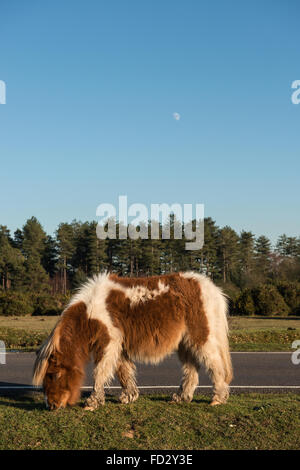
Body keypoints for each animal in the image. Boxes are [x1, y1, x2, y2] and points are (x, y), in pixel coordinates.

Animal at [33, 272, 234, 412]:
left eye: (54, 375)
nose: (51, 406)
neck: (90, 313)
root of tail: (211, 288)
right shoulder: (119, 347)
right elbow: (124, 371)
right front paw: (129, 396)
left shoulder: (108, 343)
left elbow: (100, 372)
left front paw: (93, 402)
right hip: (185, 343)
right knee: (191, 370)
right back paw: (181, 397)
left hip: (201, 338)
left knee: (215, 365)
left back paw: (218, 398)